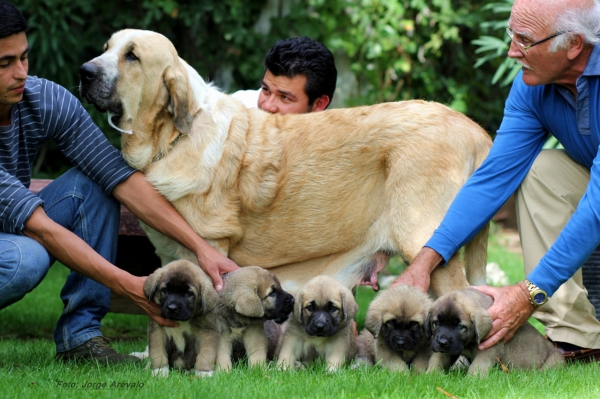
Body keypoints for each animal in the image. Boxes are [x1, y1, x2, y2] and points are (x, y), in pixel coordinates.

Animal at [78, 28, 492, 296]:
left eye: (132, 56)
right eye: (106, 47)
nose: (84, 72)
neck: (172, 138)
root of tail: (474, 129)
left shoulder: (208, 248)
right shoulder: (170, 252)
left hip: (423, 241)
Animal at [424, 290, 564, 376]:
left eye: (459, 326)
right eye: (436, 323)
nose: (442, 342)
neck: (468, 343)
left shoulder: (488, 349)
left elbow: (478, 366)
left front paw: (471, 380)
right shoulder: (447, 349)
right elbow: (437, 359)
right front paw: (431, 375)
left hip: (556, 358)